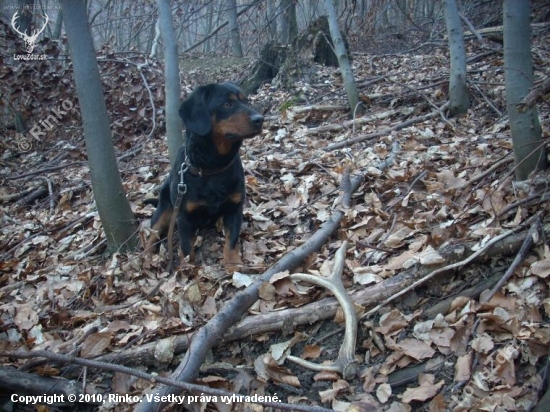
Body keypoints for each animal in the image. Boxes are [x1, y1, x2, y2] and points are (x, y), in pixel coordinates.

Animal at [146, 83, 264, 270]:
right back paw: (146, 259)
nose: (260, 119)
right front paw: (188, 269)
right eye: (226, 104)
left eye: (245, 101)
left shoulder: (235, 208)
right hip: (165, 209)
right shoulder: (183, 216)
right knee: (152, 235)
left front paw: (233, 264)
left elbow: (232, 239)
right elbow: (186, 247)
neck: (212, 168)